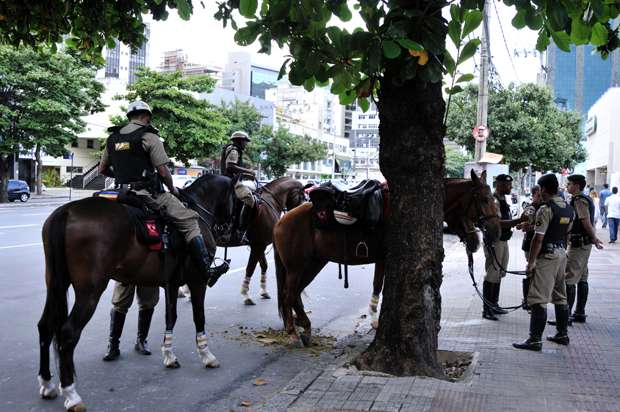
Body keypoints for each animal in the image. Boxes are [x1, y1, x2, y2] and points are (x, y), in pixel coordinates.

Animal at [37, 173, 235, 412]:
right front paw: (206, 355)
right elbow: (199, 317)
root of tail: (66, 211)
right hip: (90, 292)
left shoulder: (172, 283)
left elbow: (171, 317)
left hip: (55, 284)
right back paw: (71, 394)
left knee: (45, 326)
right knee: (68, 333)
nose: (229, 228)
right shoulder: (197, 281)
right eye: (236, 196)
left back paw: (47, 384)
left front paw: (169, 355)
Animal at [218, 175, 306, 304]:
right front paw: (245, 294)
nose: (299, 214)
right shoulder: (258, 245)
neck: (272, 200)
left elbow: (264, 265)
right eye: (303, 197)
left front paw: (264, 291)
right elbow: (250, 268)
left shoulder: (259, 245)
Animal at [274, 169, 502, 346]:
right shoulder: (385, 258)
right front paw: (375, 320)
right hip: (297, 267)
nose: (494, 232)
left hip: (313, 264)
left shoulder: (381, 260)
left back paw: (302, 326)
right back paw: (294, 332)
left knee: (294, 293)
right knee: (288, 293)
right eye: (484, 199)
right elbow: (379, 286)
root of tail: (282, 219)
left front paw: (374, 319)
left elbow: (377, 285)